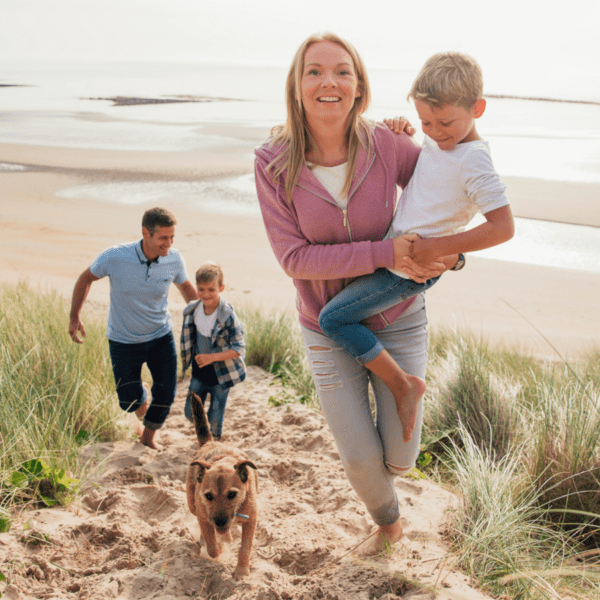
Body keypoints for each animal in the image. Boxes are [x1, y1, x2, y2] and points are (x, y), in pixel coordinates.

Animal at [184, 392, 256, 580]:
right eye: (208, 496)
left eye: (232, 494)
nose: (220, 521)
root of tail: (210, 443)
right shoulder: (205, 518)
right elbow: (211, 547)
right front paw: (219, 549)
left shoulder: (251, 520)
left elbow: (245, 548)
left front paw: (241, 571)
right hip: (193, 506)